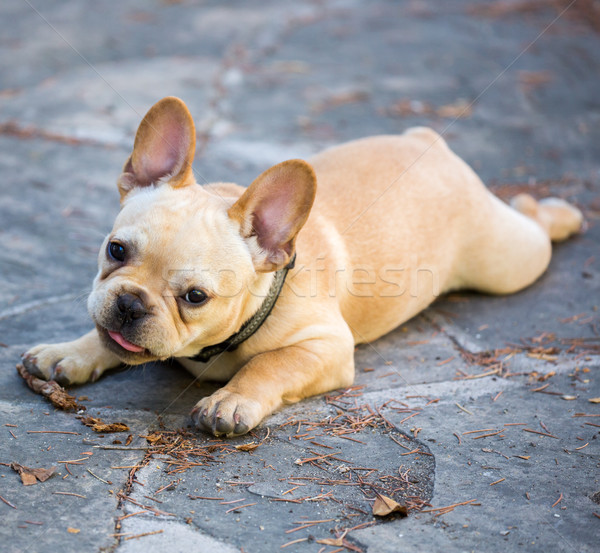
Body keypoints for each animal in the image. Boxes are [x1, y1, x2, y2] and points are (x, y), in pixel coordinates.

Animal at [22, 98, 580, 436]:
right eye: (116, 251)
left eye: (195, 297)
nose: (131, 304)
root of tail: (431, 142)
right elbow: (102, 336)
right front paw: (67, 351)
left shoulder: (326, 347)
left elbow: (270, 363)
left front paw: (230, 399)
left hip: (508, 261)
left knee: (533, 229)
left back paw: (559, 212)